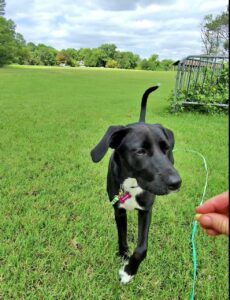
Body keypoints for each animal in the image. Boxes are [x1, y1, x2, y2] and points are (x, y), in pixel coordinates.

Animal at [90, 86, 181, 284]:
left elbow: (141, 248)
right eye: (140, 152)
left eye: (166, 149)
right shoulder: (118, 209)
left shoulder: (146, 211)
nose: (176, 183)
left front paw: (129, 271)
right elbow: (122, 236)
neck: (133, 184)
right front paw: (124, 255)